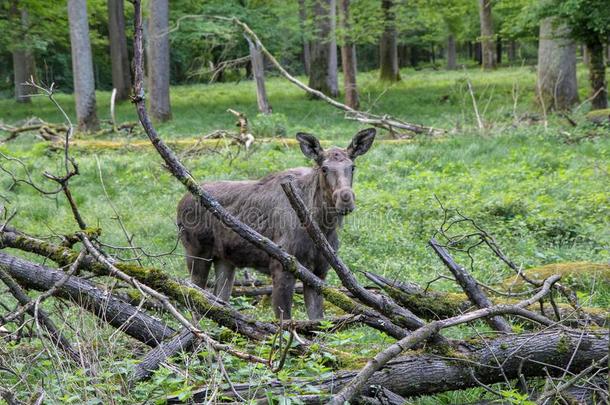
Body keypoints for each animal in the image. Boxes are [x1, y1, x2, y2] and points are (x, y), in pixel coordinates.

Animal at [177, 128, 376, 318]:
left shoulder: (319, 272)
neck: (322, 227)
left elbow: (317, 321)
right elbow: (286, 321)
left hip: (225, 260)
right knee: (193, 300)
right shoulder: (282, 268)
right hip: (196, 253)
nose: (346, 199)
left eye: (352, 167)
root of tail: (180, 204)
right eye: (324, 168)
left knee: (219, 301)